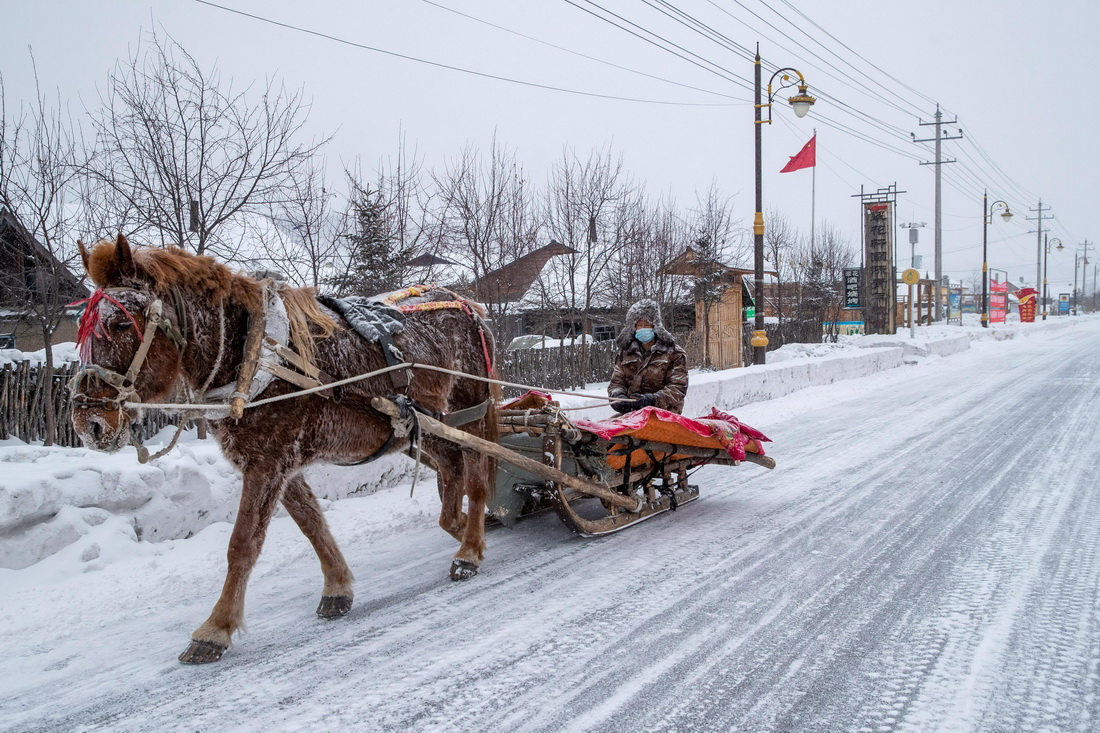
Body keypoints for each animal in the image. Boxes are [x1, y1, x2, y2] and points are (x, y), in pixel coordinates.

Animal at [68, 235, 499, 660]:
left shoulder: (268, 462)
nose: (88, 423)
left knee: (477, 476)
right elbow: (312, 525)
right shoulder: (276, 462)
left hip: (471, 406)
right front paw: (337, 587)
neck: (254, 353)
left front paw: (215, 629)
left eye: (120, 322)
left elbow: (242, 545)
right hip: (423, 423)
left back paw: (469, 548)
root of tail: (466, 304)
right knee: (451, 468)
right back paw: (465, 525)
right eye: (82, 328)